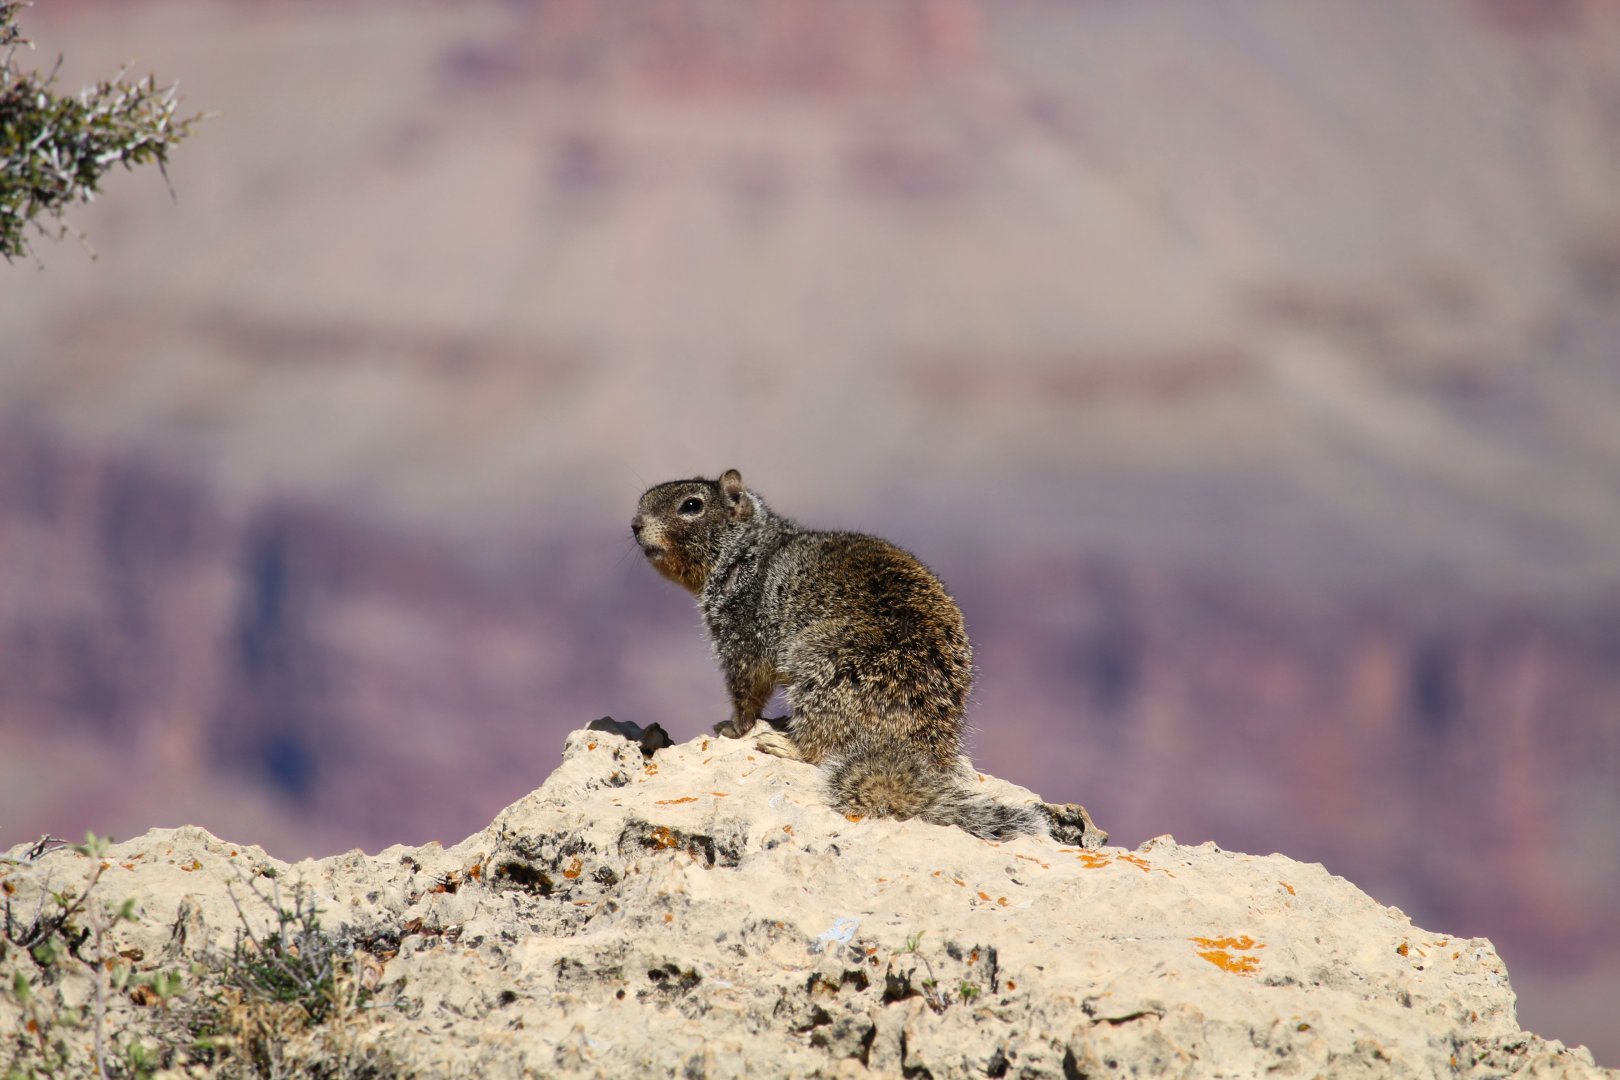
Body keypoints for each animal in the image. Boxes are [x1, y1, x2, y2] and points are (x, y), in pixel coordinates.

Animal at [631, 469, 1047, 841]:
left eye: (691, 505)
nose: (635, 524)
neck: (749, 545)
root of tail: (917, 746)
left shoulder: (738, 623)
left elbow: (746, 681)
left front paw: (733, 728)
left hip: (819, 660)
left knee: (820, 747)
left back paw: (782, 743)